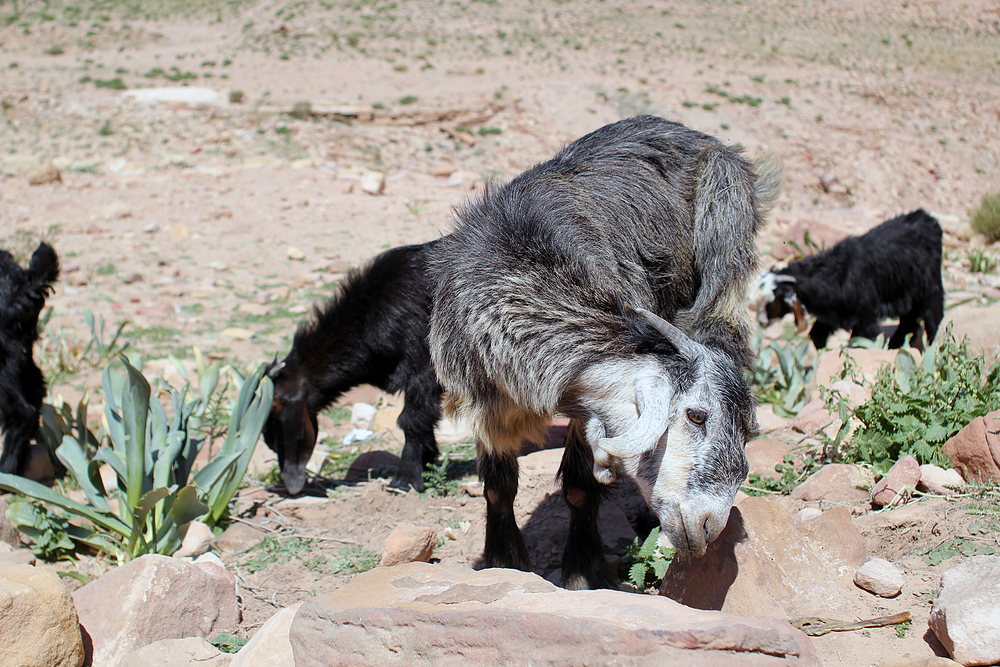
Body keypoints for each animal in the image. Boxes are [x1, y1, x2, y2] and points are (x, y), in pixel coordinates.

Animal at [262, 243, 442, 494]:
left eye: (275, 408)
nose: (269, 444)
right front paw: (429, 463)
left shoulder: (423, 369)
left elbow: (412, 420)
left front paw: (405, 480)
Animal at [428, 116, 780, 588]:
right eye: (696, 415)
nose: (709, 525)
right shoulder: (484, 397)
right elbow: (498, 488)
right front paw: (505, 563)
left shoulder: (586, 406)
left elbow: (579, 485)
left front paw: (582, 571)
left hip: (722, 251)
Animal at [756, 210, 944, 350]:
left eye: (772, 301)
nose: (761, 322)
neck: (835, 274)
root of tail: (927, 218)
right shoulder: (833, 314)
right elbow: (817, 336)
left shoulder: (866, 314)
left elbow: (862, 339)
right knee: (909, 321)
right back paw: (897, 346)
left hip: (930, 285)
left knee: (933, 316)